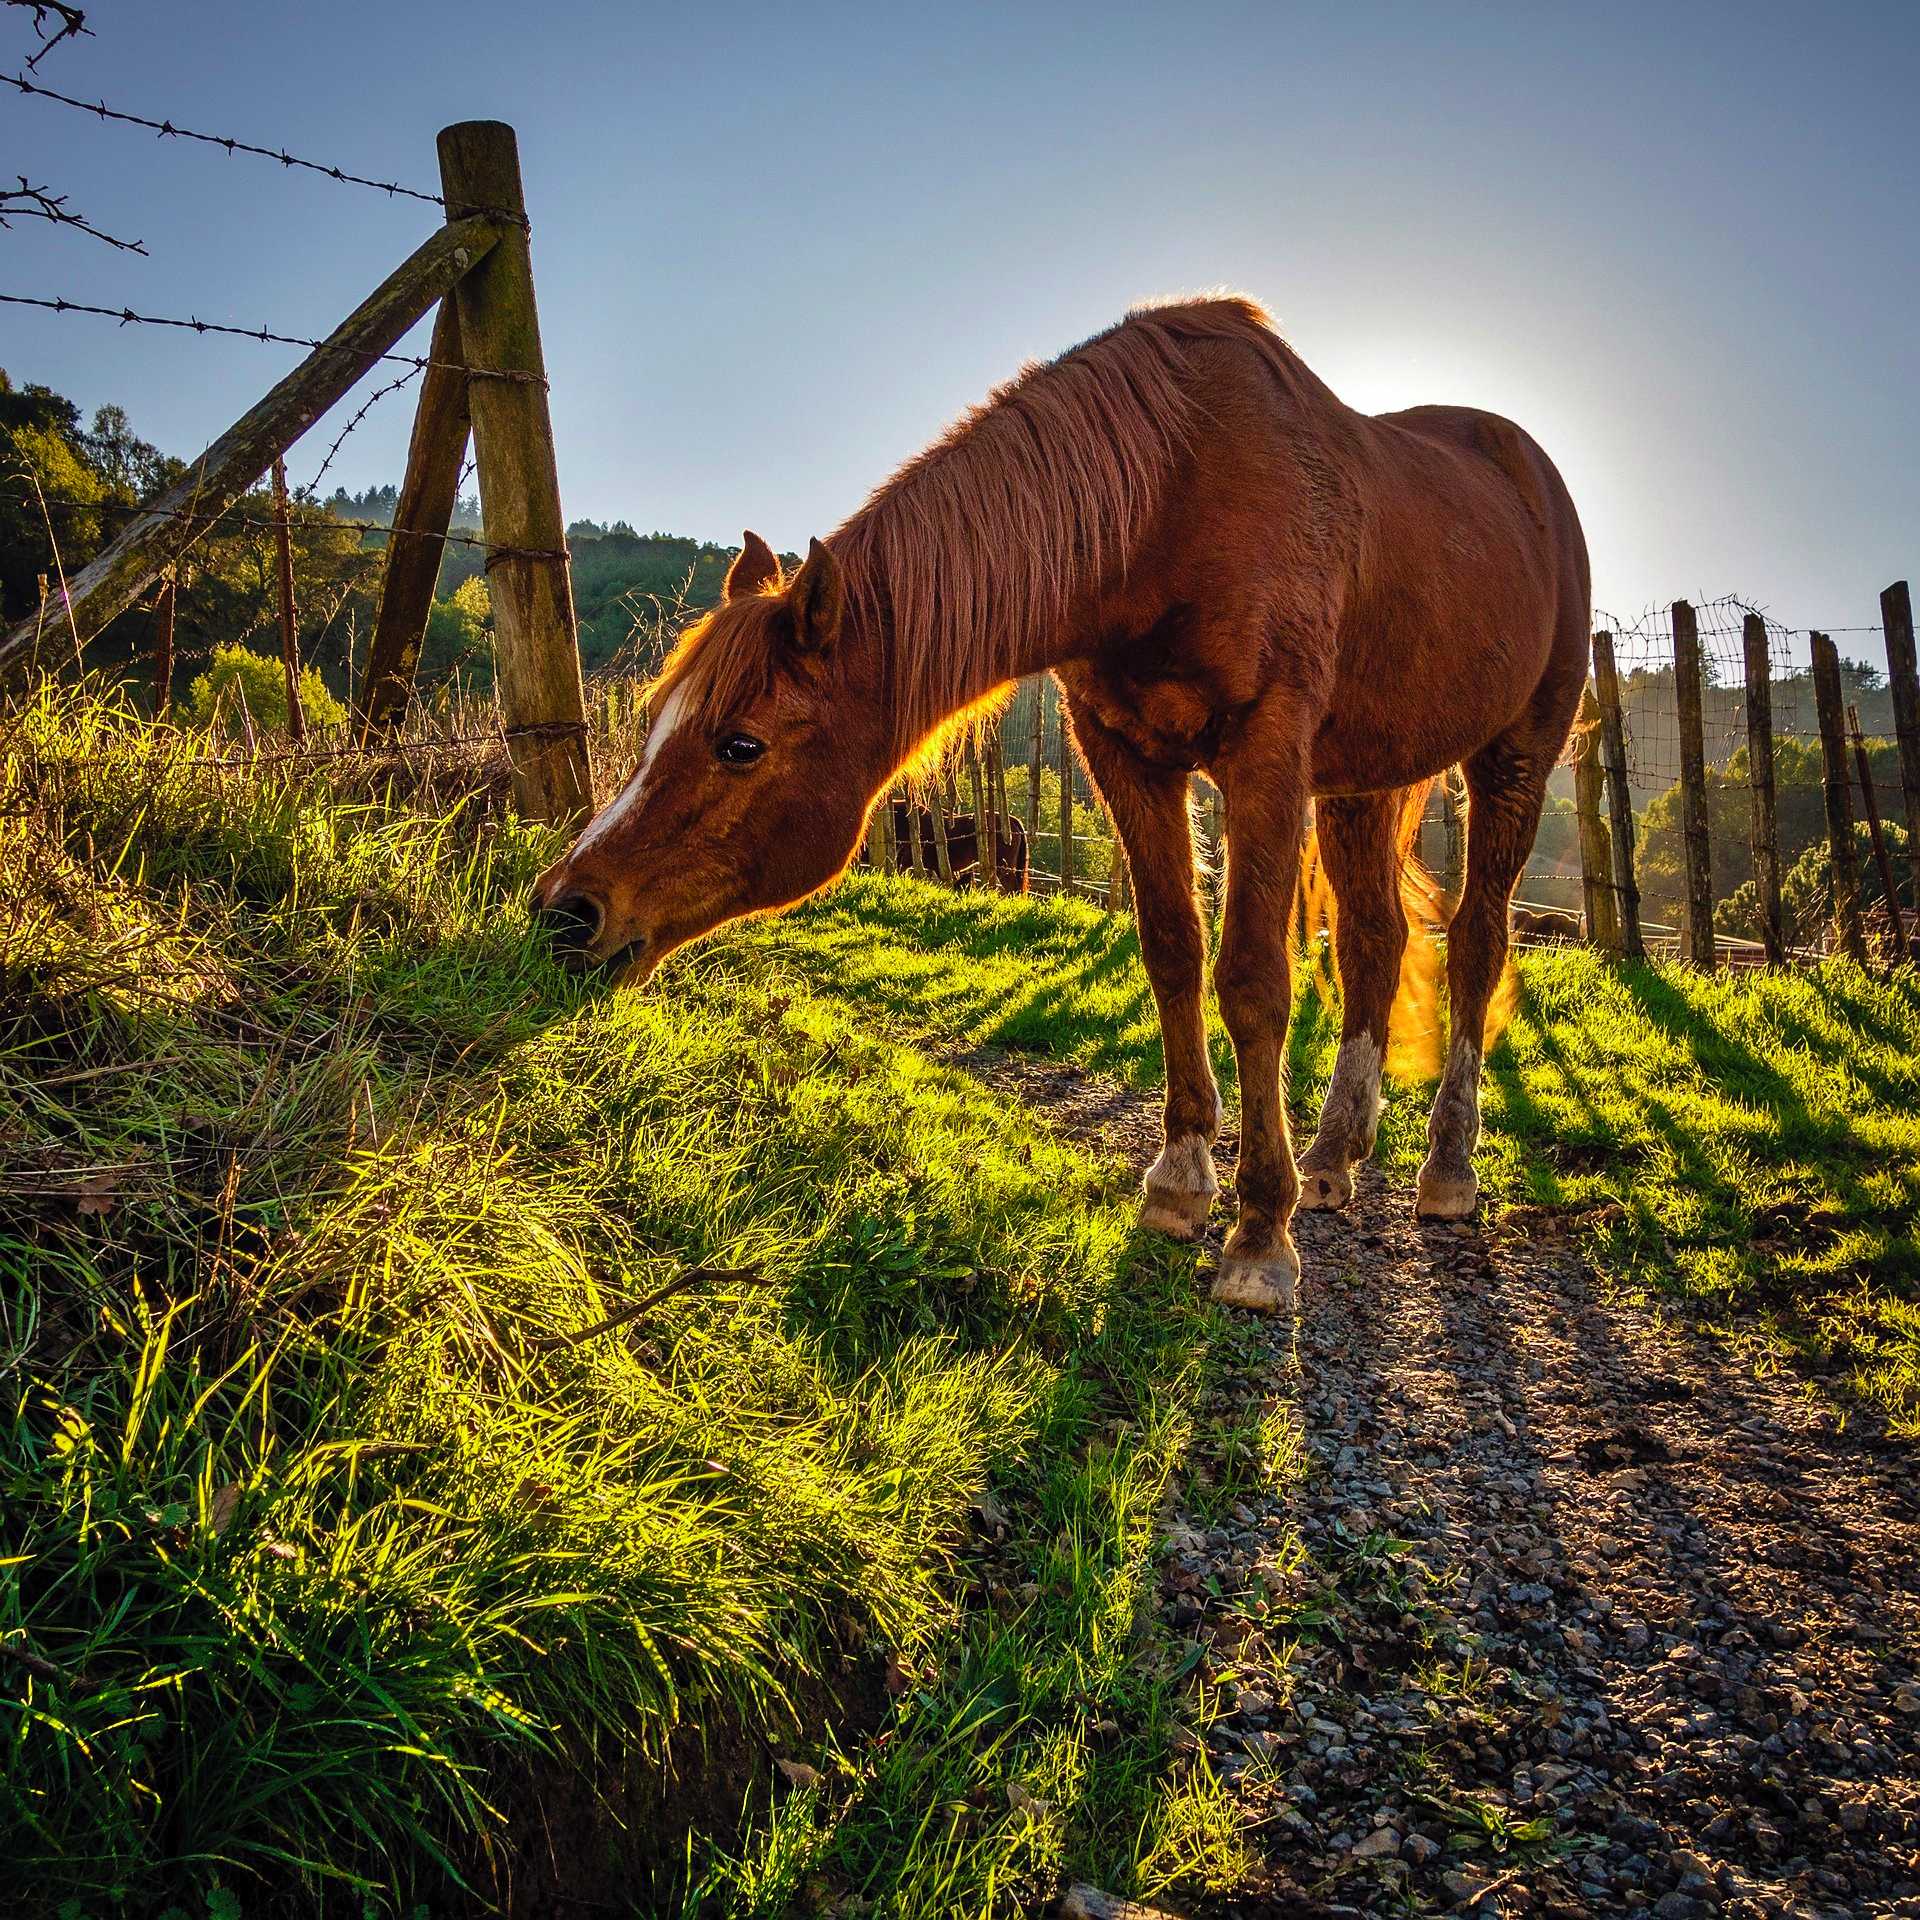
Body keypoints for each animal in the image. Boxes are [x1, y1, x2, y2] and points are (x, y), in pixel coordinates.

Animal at [534, 296, 1589, 1312]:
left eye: (740, 744)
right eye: (650, 718)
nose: (564, 911)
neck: (1169, 501)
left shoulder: (1266, 753)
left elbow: (1253, 979)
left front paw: (1258, 1237)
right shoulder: (1125, 754)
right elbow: (1173, 953)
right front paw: (1180, 1181)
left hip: (1513, 758)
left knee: (1477, 942)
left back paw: (1447, 1168)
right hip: (1366, 780)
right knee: (1377, 938)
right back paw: (1334, 1157)